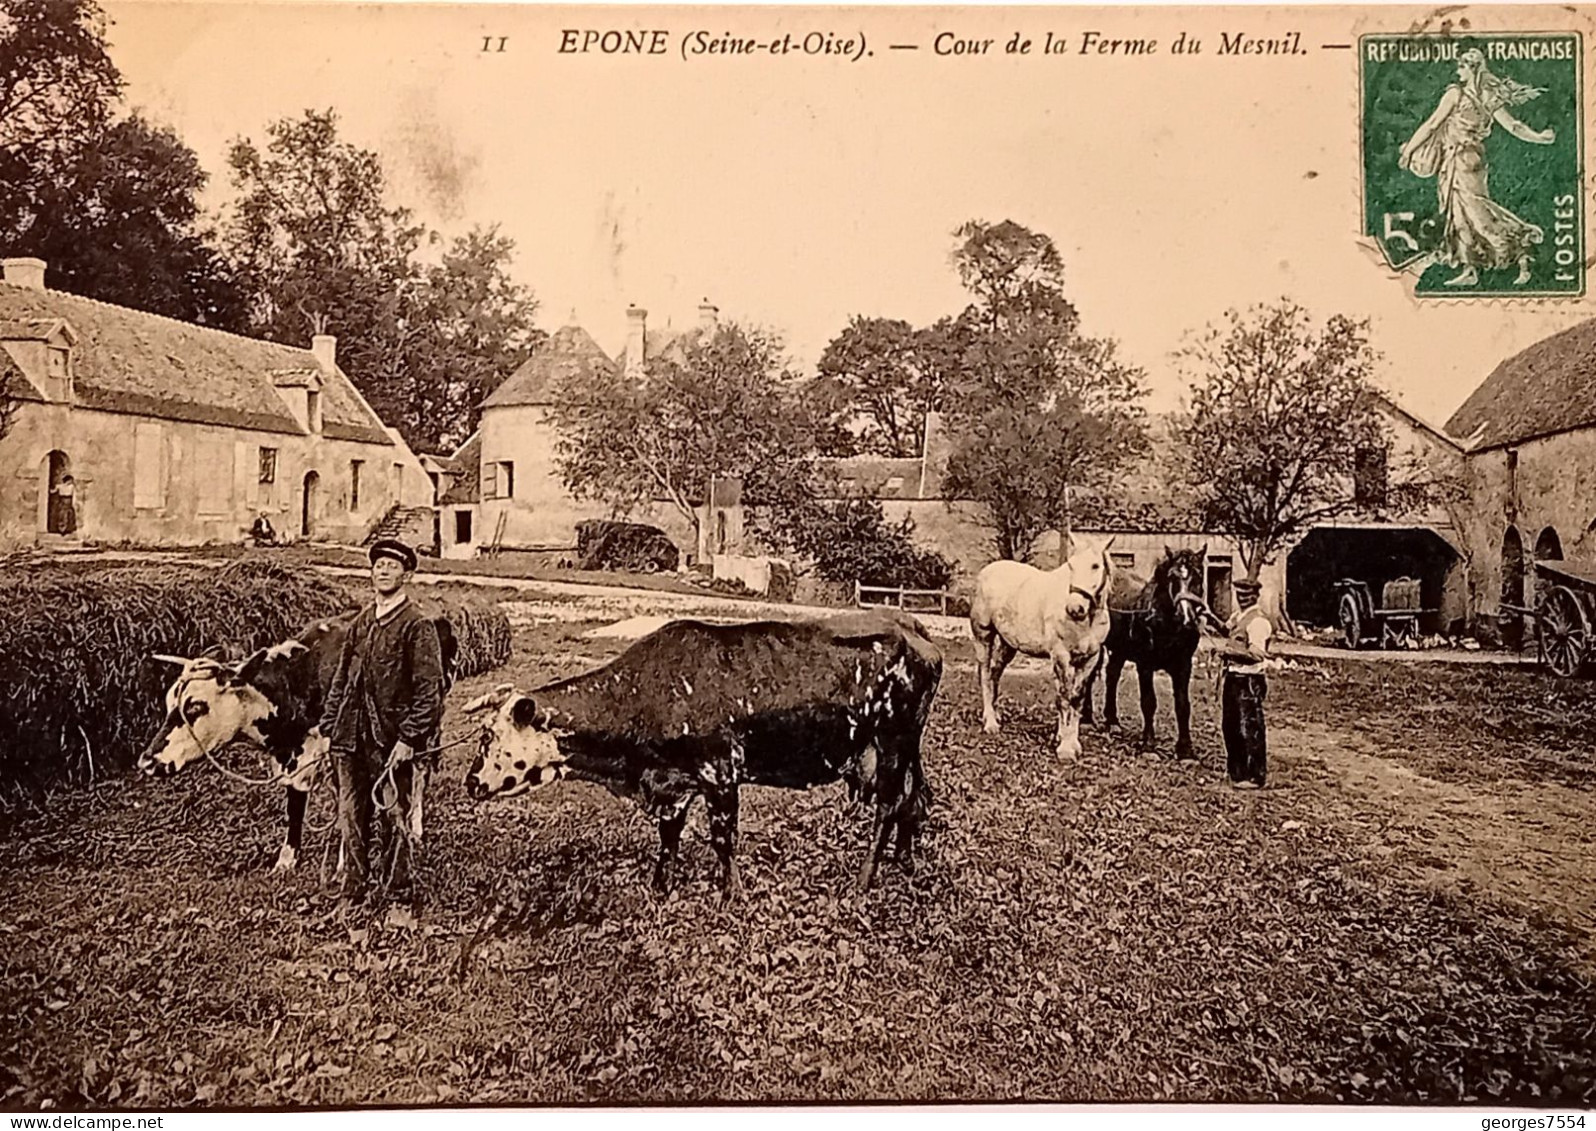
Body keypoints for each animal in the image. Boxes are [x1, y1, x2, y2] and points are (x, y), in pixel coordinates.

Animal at [136, 612, 462, 867]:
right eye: (168, 702)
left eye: (195, 706)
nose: (147, 762)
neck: (300, 680)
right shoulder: (296, 758)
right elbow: (296, 804)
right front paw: (287, 860)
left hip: (427, 727)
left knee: (419, 773)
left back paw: (415, 828)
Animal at [462, 609, 938, 899]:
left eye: (488, 736)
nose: (470, 782)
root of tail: (908, 624)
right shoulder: (673, 783)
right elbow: (669, 838)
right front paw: (660, 887)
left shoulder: (721, 773)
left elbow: (722, 838)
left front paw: (731, 894)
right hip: (897, 749)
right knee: (912, 802)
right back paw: (905, 861)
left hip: (892, 741)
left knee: (888, 807)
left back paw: (864, 879)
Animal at [963, 532, 1117, 759]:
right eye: (1071, 565)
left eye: (1095, 566)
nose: (1075, 608)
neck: (1086, 620)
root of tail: (987, 571)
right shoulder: (1061, 656)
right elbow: (1064, 697)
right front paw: (1065, 749)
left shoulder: (1089, 659)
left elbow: (1076, 698)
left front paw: (1072, 743)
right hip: (983, 636)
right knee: (984, 674)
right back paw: (990, 723)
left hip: (1008, 645)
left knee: (994, 674)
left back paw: (995, 715)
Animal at [1085, 545, 1206, 759]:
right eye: (1171, 577)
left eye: (1198, 575)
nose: (1186, 618)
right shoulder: (1145, 665)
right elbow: (1149, 702)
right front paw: (1148, 743)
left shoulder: (1184, 665)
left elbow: (1183, 705)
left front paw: (1185, 748)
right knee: (1090, 676)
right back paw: (1087, 718)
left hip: (1120, 650)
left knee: (1112, 676)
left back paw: (1112, 722)